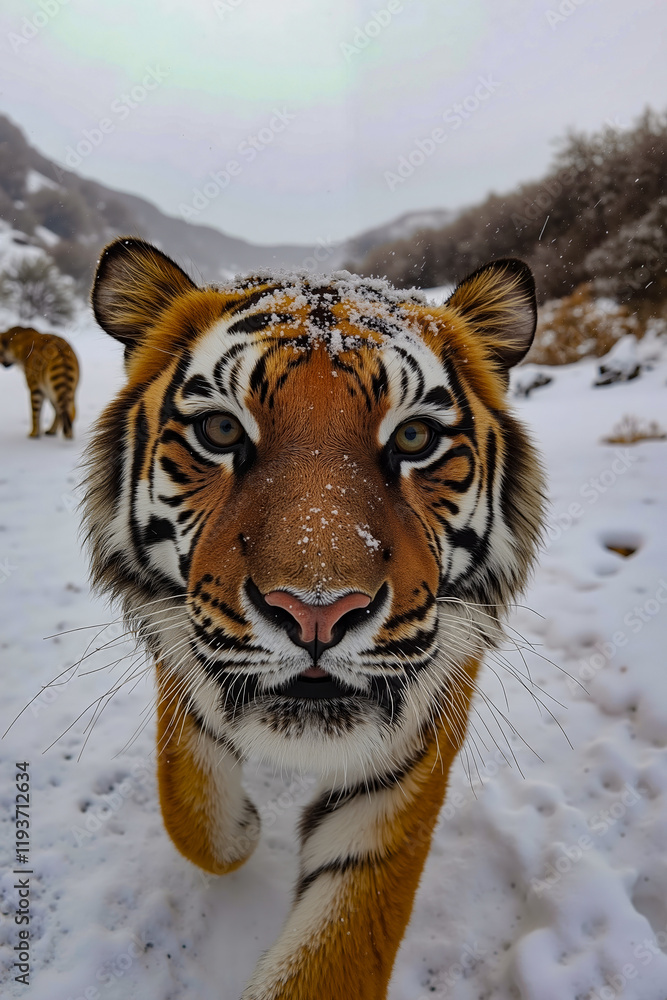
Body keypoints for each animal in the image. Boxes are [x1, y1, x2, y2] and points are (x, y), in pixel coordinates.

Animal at [83, 236, 545, 1000]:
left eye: (414, 438)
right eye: (219, 430)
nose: (317, 612)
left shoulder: (413, 746)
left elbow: (335, 943)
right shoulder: (179, 646)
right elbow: (190, 806)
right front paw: (241, 828)